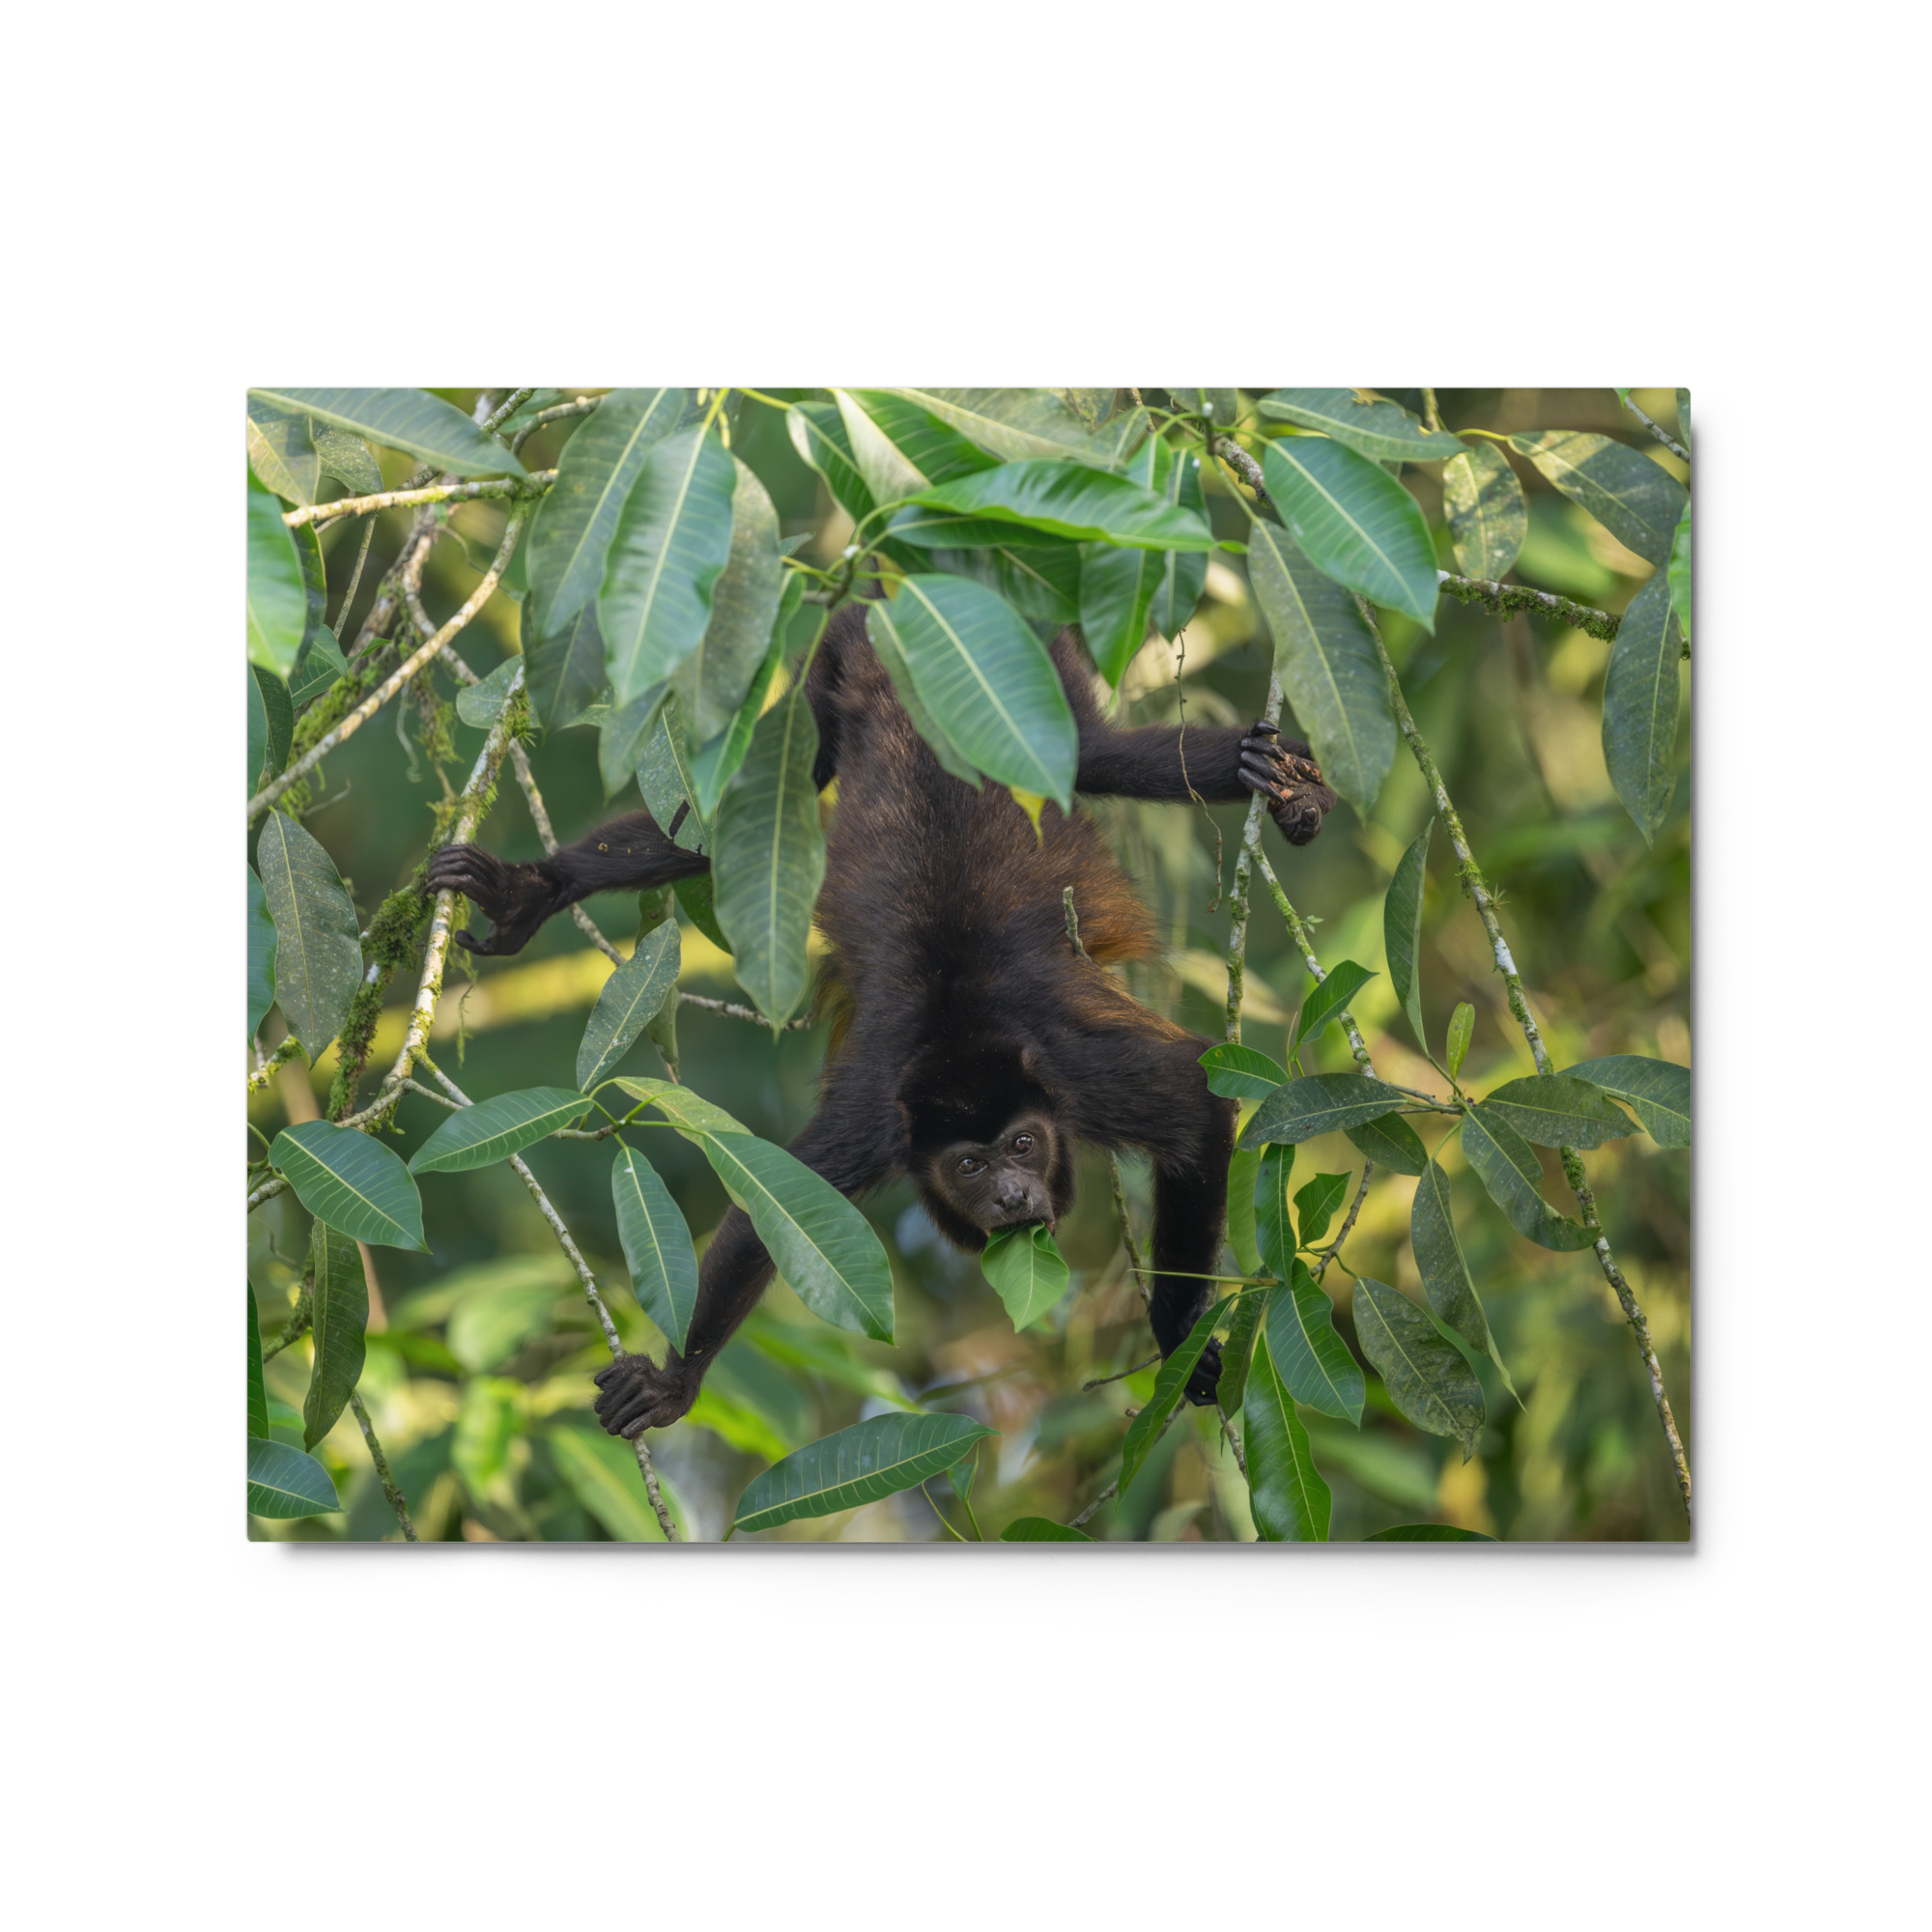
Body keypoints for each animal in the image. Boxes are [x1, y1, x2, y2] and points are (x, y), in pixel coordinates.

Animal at [426, 602, 1335, 1437]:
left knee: (1107, 755)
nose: (1011, 1194)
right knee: (744, 812)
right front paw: (674, 1383)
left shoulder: (1080, 1075)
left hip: (1035, 677)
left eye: (1022, 1145)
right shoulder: (875, 1120)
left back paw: (1279, 781)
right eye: (969, 1165)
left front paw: (1179, 1333)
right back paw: (534, 889)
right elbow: (774, 1209)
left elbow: (1194, 1099)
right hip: (832, 688)